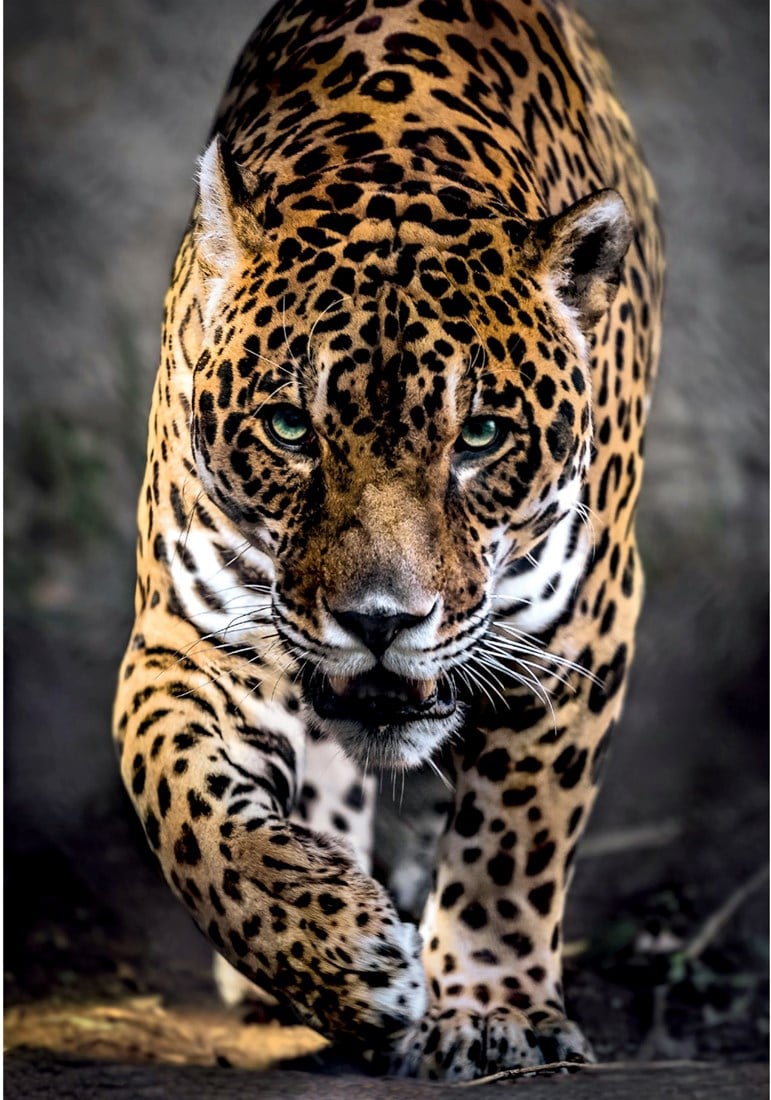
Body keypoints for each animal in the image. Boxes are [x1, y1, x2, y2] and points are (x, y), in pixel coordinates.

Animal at [113, 0, 663, 1081]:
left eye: (480, 436)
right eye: (290, 427)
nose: (379, 621)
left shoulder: (578, 628)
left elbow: (515, 837)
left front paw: (492, 1011)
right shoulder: (186, 635)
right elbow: (183, 802)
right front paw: (336, 953)